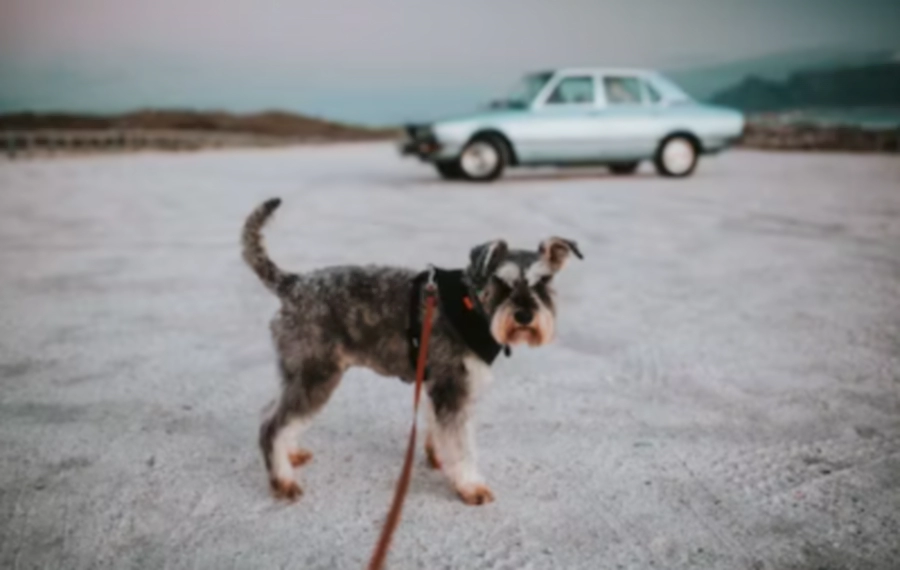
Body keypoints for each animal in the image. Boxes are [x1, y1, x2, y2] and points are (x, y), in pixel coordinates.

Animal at [241, 196, 584, 502]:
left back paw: (290, 454)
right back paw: (283, 481)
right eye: (502, 282)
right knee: (272, 425)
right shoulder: (454, 389)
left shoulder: (438, 384)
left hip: (299, 373)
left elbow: (438, 429)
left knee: (271, 411)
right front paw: (470, 486)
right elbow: (462, 444)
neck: (472, 304)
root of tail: (294, 285)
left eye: (544, 282)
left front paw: (439, 460)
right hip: (317, 375)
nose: (525, 315)